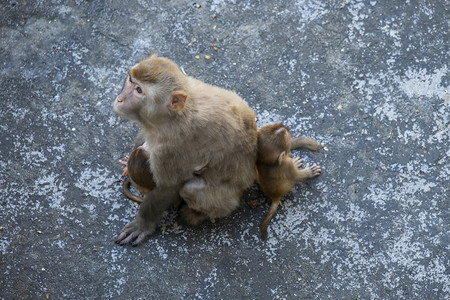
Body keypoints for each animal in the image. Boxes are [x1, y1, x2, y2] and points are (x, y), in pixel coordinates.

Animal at [113, 54, 256, 246]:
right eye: (130, 80)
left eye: (139, 90)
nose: (120, 99)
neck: (172, 117)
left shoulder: (170, 149)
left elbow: (168, 187)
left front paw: (142, 224)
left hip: (228, 199)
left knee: (190, 189)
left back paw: (196, 214)